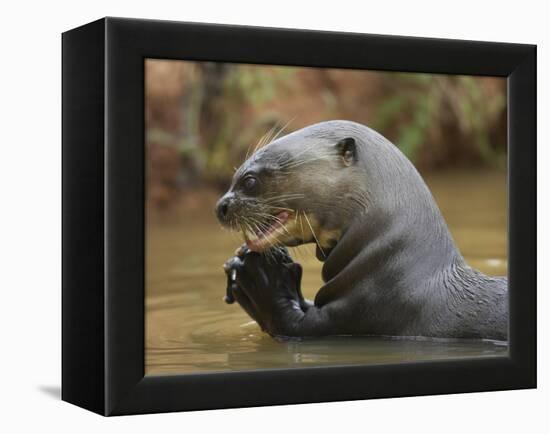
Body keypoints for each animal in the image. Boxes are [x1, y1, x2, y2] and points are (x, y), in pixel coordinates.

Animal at [215, 120, 508, 340]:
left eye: (249, 181)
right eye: (234, 177)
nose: (221, 206)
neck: (394, 268)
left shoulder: (362, 313)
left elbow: (286, 322)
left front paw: (259, 275)